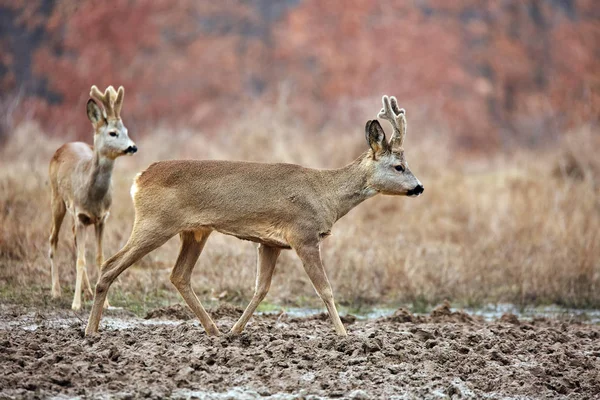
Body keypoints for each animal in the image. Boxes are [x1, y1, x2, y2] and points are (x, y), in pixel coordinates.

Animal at [85, 95, 422, 336]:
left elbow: (261, 288)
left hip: (195, 231)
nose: (419, 187)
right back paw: (91, 331)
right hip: (155, 222)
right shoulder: (303, 234)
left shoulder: (270, 242)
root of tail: (139, 178)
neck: (326, 195)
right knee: (110, 265)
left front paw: (236, 330)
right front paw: (344, 336)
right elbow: (324, 289)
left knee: (179, 275)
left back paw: (215, 330)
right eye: (399, 166)